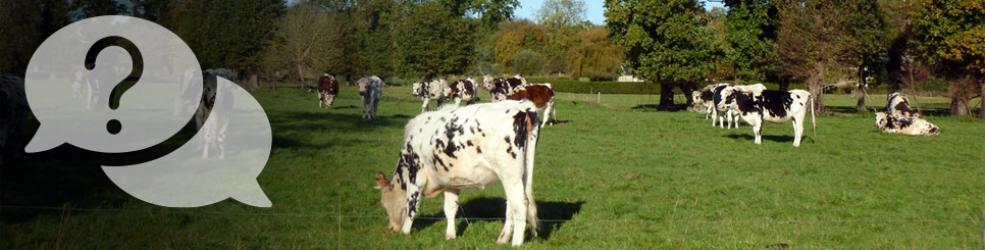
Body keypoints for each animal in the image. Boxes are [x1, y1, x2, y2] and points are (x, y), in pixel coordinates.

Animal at [374, 100, 540, 246]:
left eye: (384, 202)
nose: (391, 228)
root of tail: (522, 106)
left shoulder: (415, 176)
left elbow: (411, 206)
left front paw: (405, 232)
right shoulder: (451, 182)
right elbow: (450, 208)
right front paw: (450, 235)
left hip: (509, 173)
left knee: (520, 203)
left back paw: (516, 242)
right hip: (519, 174)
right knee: (512, 204)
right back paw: (503, 238)